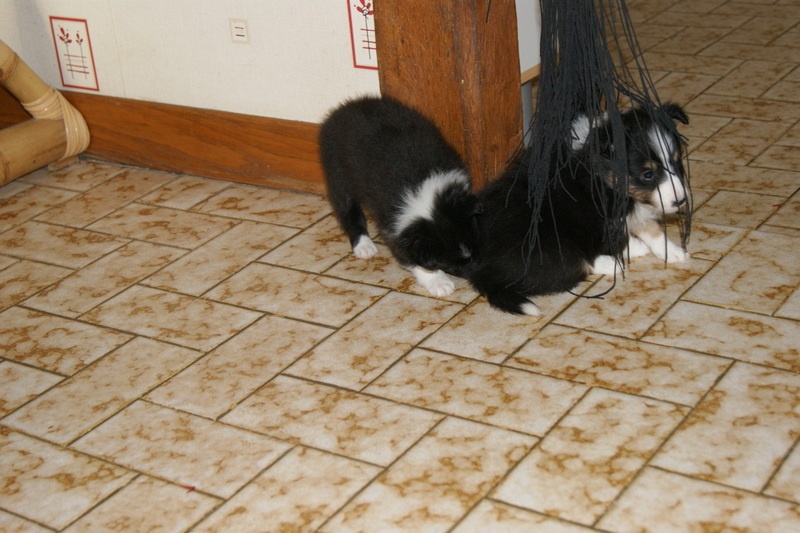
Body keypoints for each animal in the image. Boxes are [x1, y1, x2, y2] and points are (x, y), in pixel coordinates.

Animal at [318, 96, 482, 297]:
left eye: (474, 247)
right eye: (450, 265)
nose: (477, 279)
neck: (421, 187)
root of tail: (340, 110)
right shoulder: (392, 222)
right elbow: (409, 255)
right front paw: (439, 283)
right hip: (338, 174)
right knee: (348, 211)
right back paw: (364, 246)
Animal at [464, 103, 690, 315]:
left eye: (676, 161)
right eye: (648, 174)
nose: (680, 201)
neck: (603, 174)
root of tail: (481, 270)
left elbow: (651, 229)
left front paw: (673, 252)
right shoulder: (599, 219)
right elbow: (619, 238)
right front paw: (638, 248)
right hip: (552, 244)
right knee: (570, 267)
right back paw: (612, 264)